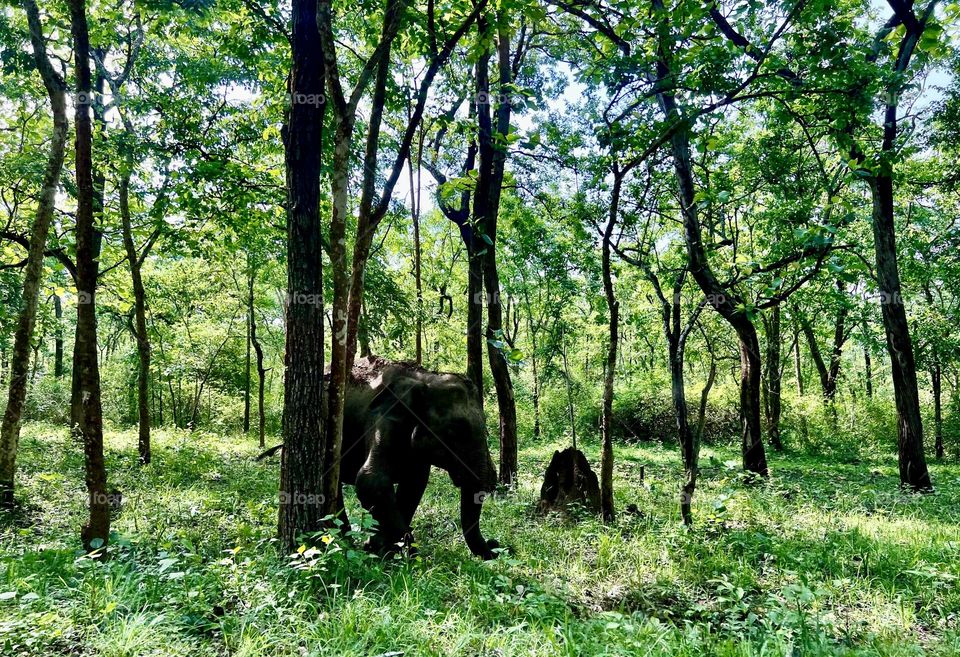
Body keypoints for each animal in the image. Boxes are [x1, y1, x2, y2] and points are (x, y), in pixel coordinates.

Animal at [336, 356, 502, 556]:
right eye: (456, 430)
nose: (494, 543)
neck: (424, 377)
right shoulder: (380, 420)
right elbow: (372, 481)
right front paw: (402, 552)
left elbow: (414, 484)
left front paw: (381, 548)